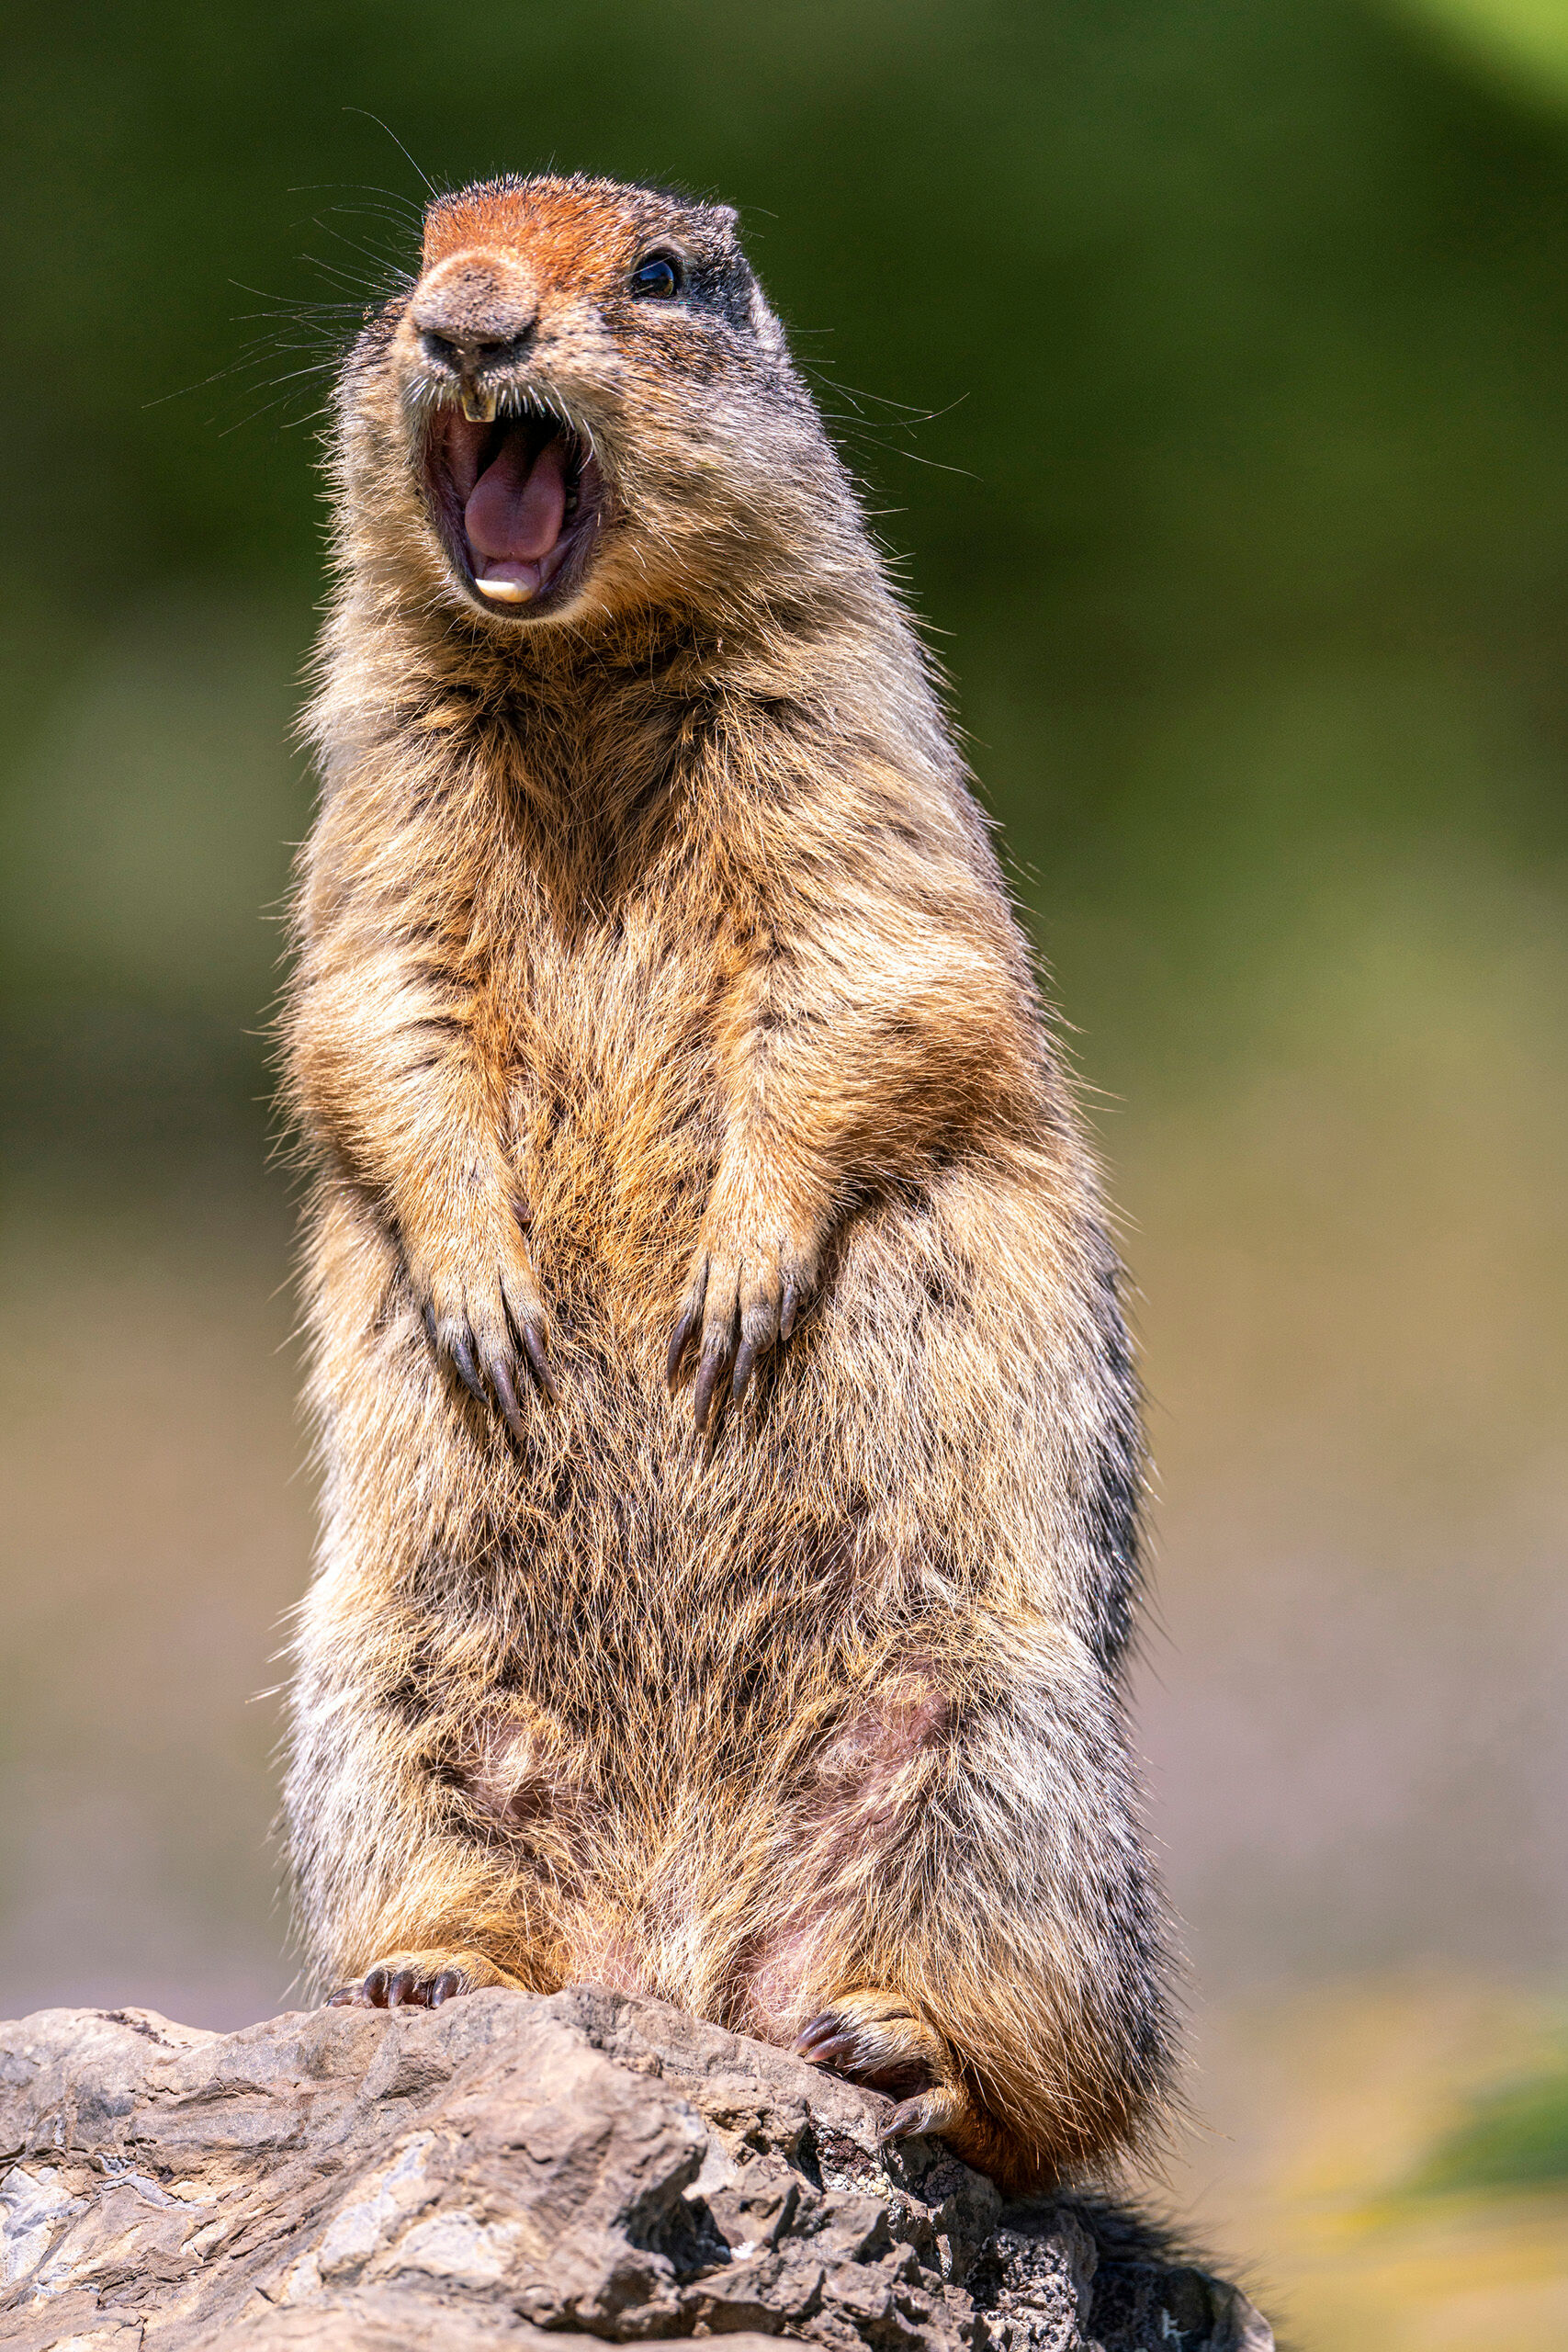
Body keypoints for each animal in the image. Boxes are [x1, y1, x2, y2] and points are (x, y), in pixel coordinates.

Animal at [281, 172, 1177, 2194]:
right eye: (415, 249)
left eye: (664, 275)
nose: (462, 318)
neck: (570, 672)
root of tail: (686, 1965)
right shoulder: (374, 802)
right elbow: (371, 1008)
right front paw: (485, 1292)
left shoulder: (845, 750)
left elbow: (872, 975)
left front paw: (732, 1280)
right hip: (386, 1717)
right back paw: (430, 1977)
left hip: (1002, 1765)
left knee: (1056, 2087)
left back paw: (902, 2047)